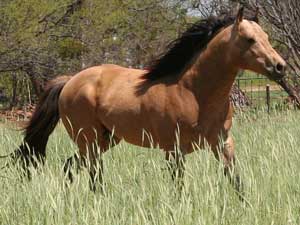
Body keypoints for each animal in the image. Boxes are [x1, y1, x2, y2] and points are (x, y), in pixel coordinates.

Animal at [7, 8, 286, 195]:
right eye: (249, 39)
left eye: (266, 36)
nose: (280, 67)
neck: (193, 92)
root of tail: (69, 81)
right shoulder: (174, 150)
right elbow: (179, 187)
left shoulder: (223, 143)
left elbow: (236, 181)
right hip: (90, 141)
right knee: (92, 172)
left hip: (105, 140)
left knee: (72, 166)